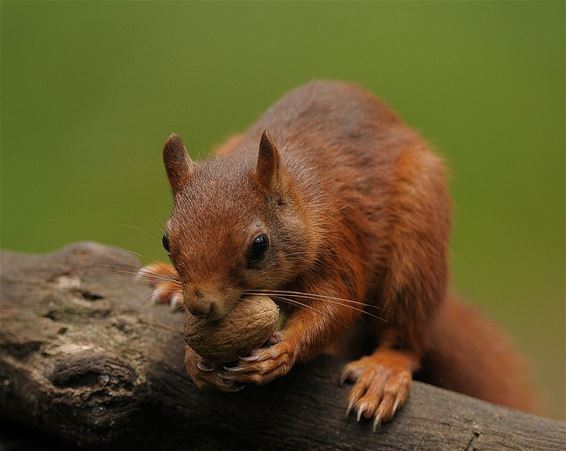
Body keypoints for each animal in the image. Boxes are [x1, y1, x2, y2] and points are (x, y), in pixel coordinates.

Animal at [140, 80, 540, 428]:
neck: (302, 198)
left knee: (408, 335)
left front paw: (282, 352)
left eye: (259, 246)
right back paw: (167, 285)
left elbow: (337, 306)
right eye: (166, 240)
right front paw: (194, 357)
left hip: (417, 246)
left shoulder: (339, 240)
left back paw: (384, 372)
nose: (200, 305)